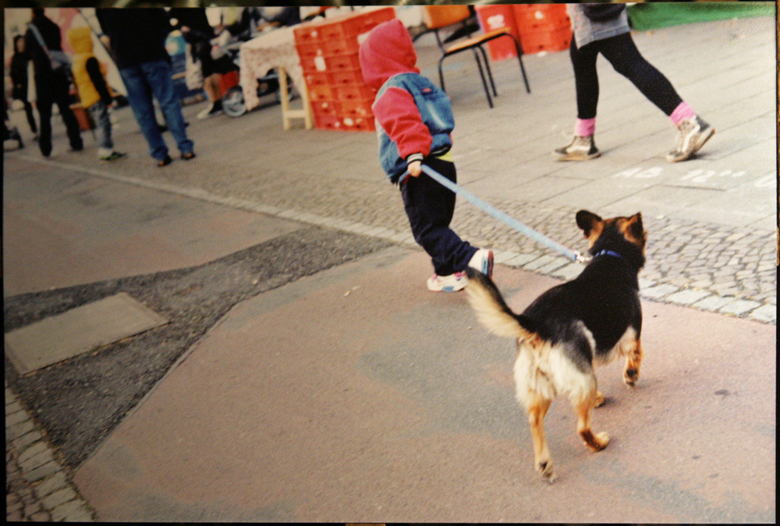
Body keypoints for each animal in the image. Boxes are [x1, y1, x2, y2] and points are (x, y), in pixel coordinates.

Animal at [464, 212, 644, 484]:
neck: (610, 255)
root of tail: (535, 324)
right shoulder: (631, 334)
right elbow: (635, 356)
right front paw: (631, 376)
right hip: (583, 380)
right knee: (582, 427)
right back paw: (598, 443)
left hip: (542, 386)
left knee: (535, 420)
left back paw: (545, 462)